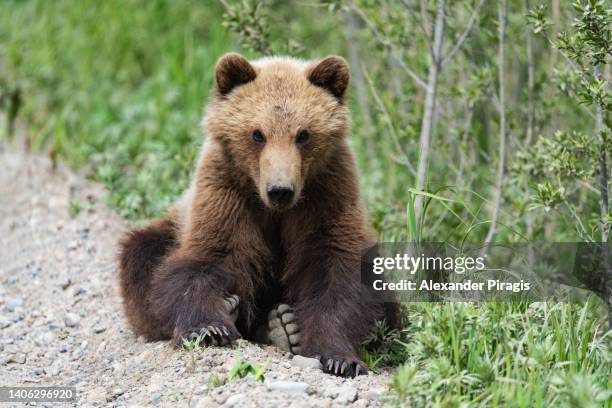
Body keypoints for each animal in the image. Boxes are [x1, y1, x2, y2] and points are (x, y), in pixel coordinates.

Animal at [117, 52, 400, 378]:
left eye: (303, 134)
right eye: (257, 134)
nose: (280, 190)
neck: (275, 210)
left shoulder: (327, 195)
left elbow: (336, 273)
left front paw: (339, 358)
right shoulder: (227, 195)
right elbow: (206, 260)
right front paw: (210, 327)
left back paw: (284, 326)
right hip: (169, 227)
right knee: (141, 256)